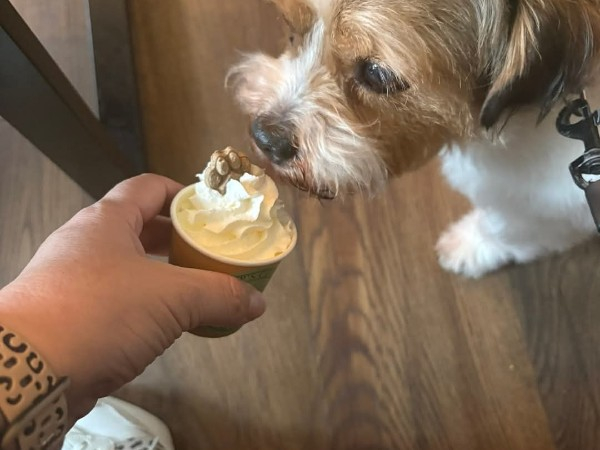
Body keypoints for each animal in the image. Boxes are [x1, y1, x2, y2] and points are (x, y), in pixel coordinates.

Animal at [227, 0, 600, 278]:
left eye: (377, 74)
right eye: (293, 31)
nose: (266, 138)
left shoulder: (541, 203)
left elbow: (506, 227)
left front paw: (469, 246)